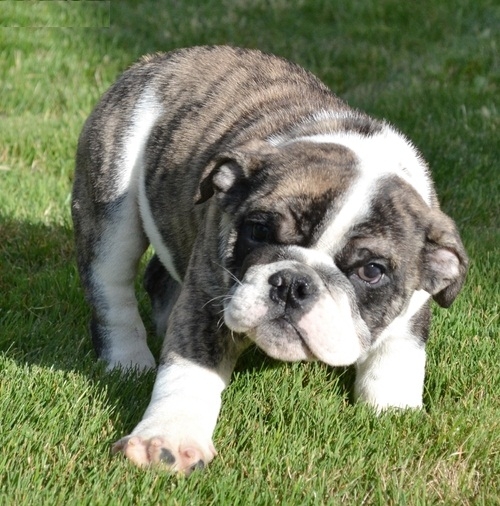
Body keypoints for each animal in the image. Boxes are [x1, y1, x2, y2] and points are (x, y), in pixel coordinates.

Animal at [71, 44, 468, 474]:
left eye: (372, 271)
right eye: (259, 231)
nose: (294, 283)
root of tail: (159, 59)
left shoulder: (414, 306)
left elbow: (399, 356)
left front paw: (394, 412)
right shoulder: (208, 299)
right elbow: (189, 371)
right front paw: (168, 439)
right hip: (113, 204)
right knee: (112, 292)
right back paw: (129, 359)